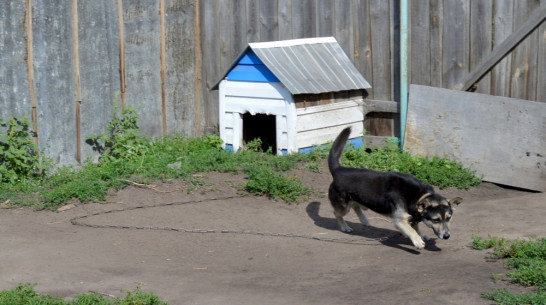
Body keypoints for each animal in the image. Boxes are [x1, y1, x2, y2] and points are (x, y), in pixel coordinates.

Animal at [326, 127, 462, 248]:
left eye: (449, 218)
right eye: (436, 220)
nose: (447, 236)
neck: (417, 195)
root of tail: (338, 170)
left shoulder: (412, 217)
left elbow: (415, 226)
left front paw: (421, 235)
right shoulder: (399, 221)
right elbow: (411, 230)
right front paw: (417, 240)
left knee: (356, 205)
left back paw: (364, 220)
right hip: (343, 207)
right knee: (337, 213)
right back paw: (344, 227)